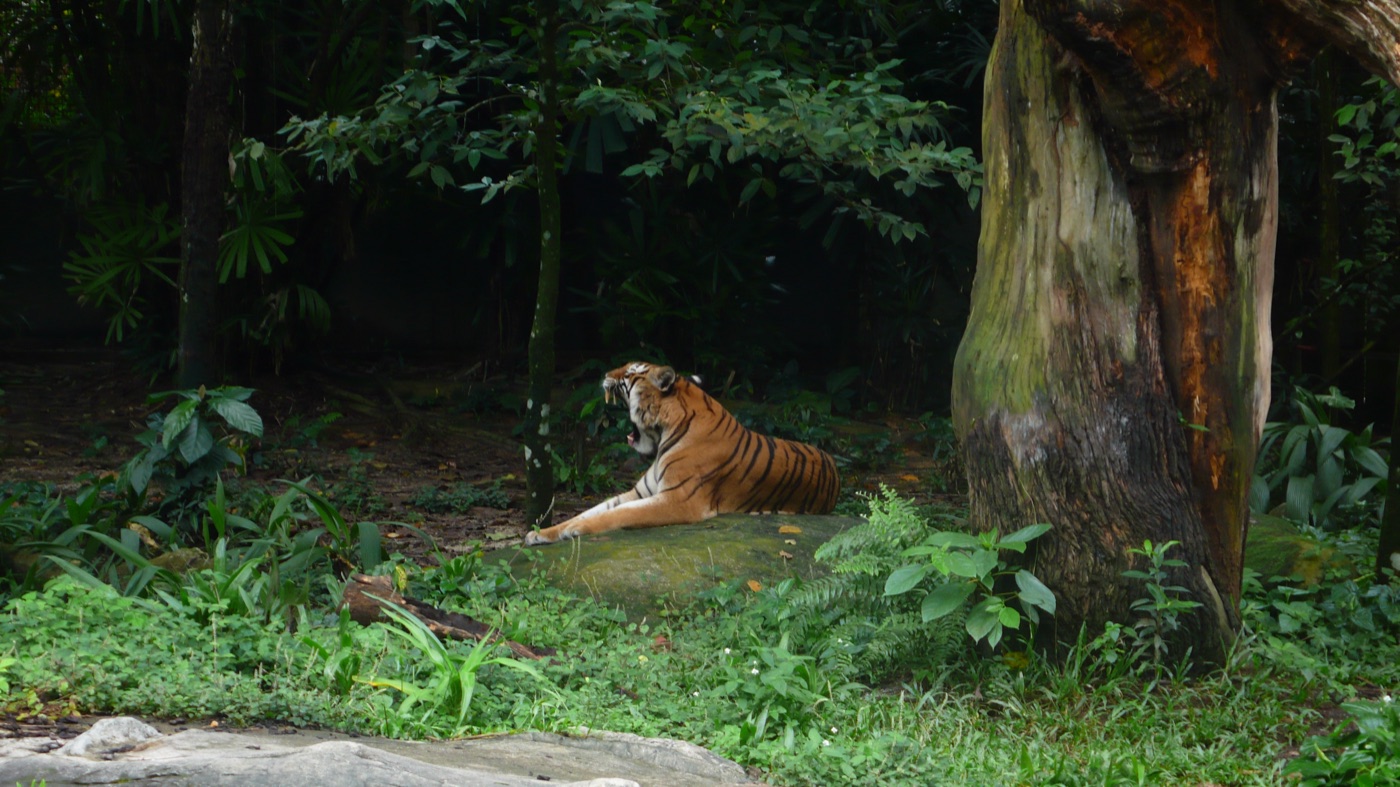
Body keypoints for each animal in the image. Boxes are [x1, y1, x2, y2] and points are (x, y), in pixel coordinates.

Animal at [522, 361, 841, 545]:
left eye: (629, 372)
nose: (605, 375)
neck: (665, 431)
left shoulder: (679, 499)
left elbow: (616, 515)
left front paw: (574, 529)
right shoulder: (640, 492)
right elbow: (594, 509)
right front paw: (540, 534)